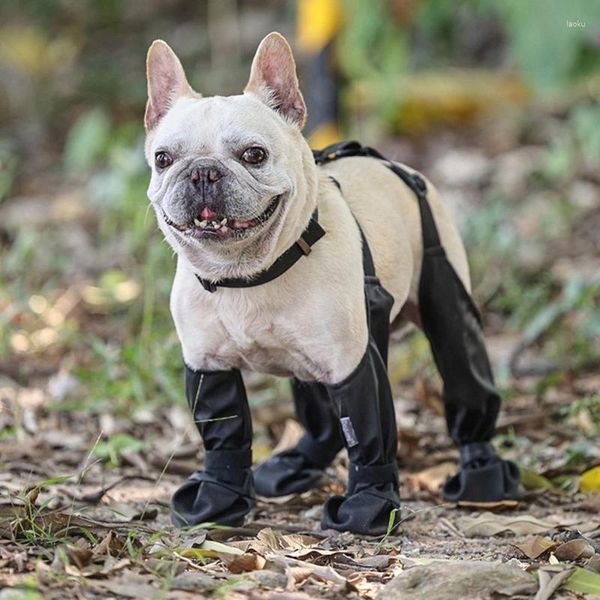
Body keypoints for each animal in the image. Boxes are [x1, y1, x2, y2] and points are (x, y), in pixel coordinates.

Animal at [144, 31, 520, 536]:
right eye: (164, 159)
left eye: (253, 155)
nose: (203, 171)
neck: (248, 276)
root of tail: (390, 164)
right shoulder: (209, 366)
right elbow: (224, 435)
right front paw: (216, 499)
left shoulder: (351, 363)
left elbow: (369, 434)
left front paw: (368, 507)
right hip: (307, 361)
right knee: (320, 416)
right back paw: (298, 462)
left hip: (443, 299)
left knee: (464, 372)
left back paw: (482, 473)